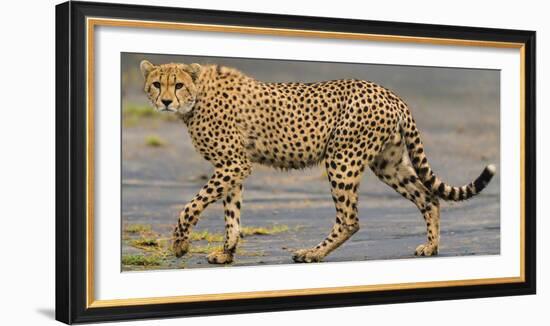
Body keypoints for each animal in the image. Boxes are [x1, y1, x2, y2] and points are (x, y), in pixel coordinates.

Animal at [140, 59, 498, 264]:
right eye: (157, 84)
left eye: (178, 84)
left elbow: (192, 205)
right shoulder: (232, 167)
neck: (197, 97)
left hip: (342, 158)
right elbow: (231, 213)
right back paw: (431, 247)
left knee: (350, 219)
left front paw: (180, 244)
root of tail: (389, 93)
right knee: (428, 196)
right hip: (388, 163)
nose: (166, 101)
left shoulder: (234, 164)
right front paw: (226, 252)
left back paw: (312, 253)